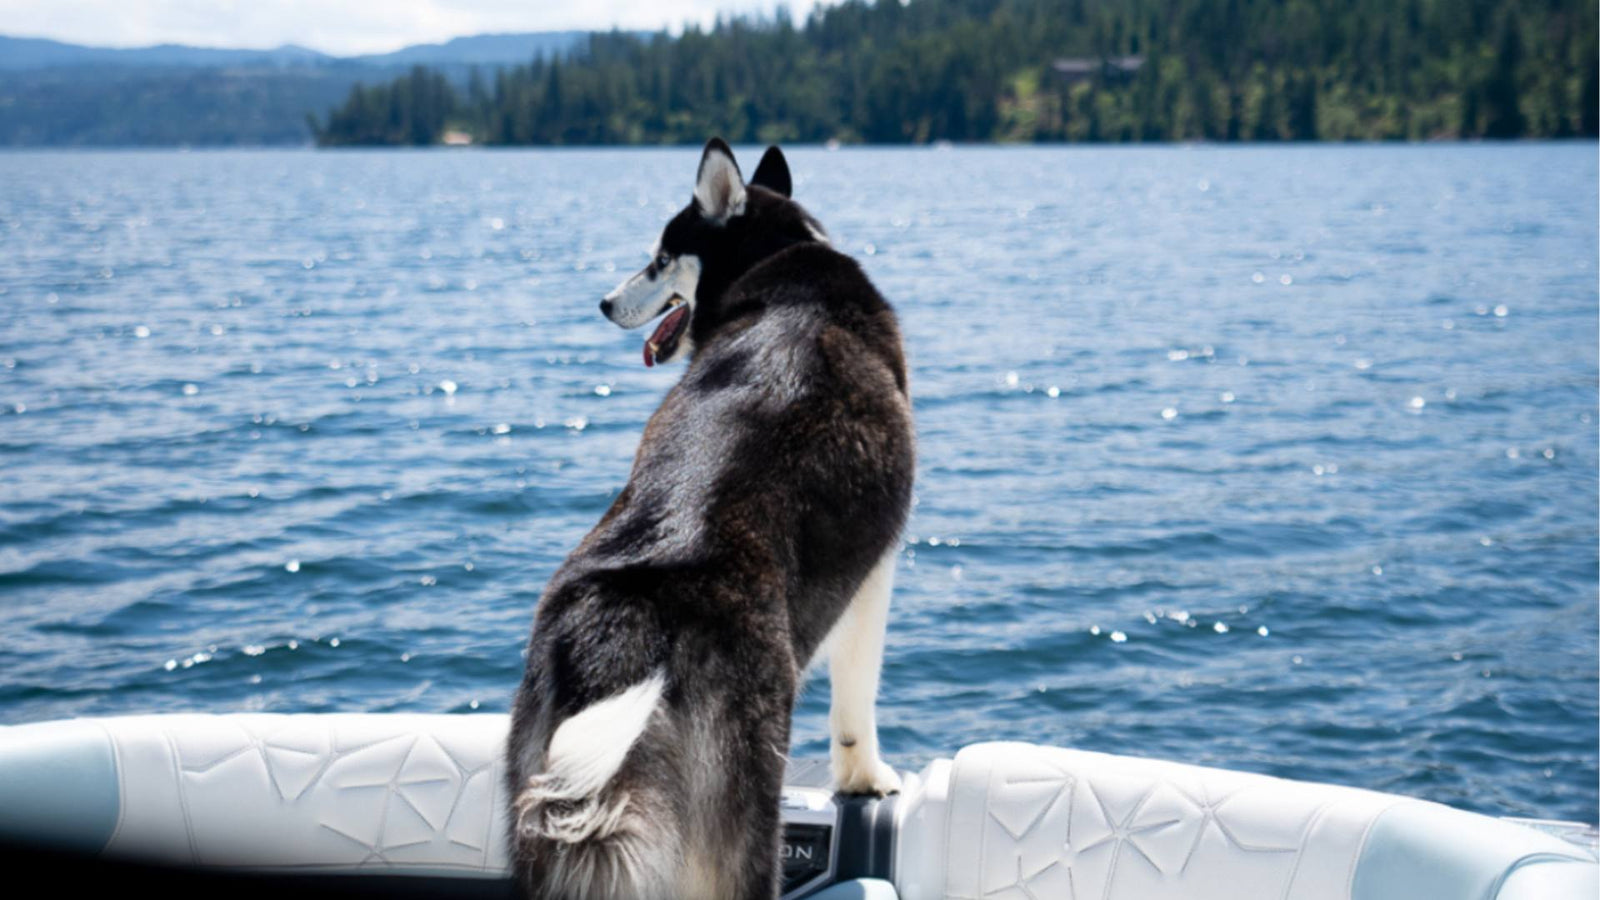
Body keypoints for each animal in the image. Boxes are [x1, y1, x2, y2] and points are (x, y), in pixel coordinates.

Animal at [508, 136, 915, 890]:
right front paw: (866, 779)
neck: (780, 264)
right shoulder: (875, 571)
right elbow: (856, 705)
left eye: (662, 256)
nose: (604, 302)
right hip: (743, 817)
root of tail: (627, 628)